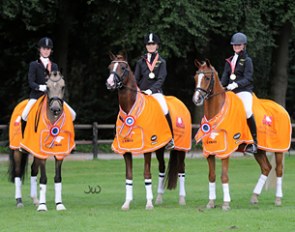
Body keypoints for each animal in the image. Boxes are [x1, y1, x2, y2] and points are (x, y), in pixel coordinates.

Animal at [8, 71, 75, 211]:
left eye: (63, 87)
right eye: (47, 87)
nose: (55, 109)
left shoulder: (59, 154)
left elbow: (57, 177)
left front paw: (59, 204)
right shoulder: (42, 154)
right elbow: (43, 178)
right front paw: (43, 207)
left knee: (33, 170)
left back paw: (35, 200)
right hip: (17, 151)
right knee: (17, 173)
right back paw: (19, 201)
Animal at [106, 54, 192, 210]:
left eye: (123, 67)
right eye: (110, 67)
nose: (109, 83)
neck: (131, 109)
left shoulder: (146, 149)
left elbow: (147, 174)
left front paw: (149, 203)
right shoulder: (126, 150)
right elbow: (129, 176)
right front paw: (127, 203)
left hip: (181, 148)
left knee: (181, 170)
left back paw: (182, 199)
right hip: (159, 148)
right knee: (162, 168)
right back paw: (159, 198)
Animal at [193, 58, 292, 210]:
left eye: (207, 78)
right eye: (195, 78)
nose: (197, 99)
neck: (218, 113)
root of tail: (281, 108)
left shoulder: (225, 151)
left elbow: (224, 176)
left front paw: (226, 203)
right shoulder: (210, 151)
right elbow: (212, 176)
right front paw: (211, 202)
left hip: (279, 150)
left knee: (279, 170)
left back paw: (278, 199)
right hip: (259, 151)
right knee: (266, 168)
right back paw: (254, 197)